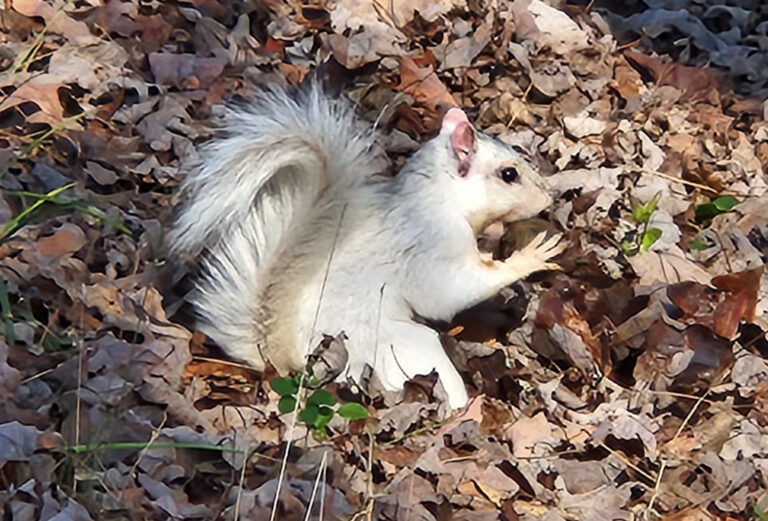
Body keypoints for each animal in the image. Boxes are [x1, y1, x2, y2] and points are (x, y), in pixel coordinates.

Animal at [166, 82, 563, 409]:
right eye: (509, 174)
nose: (548, 198)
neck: (438, 197)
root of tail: (282, 358)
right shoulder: (431, 245)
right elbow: (452, 292)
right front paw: (530, 257)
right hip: (398, 348)